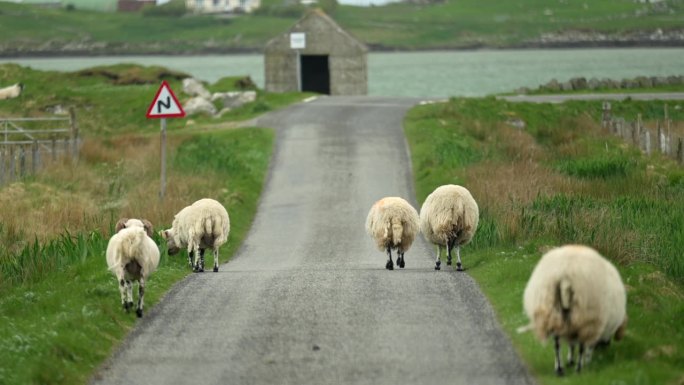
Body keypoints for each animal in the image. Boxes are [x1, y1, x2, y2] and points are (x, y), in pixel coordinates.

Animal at [520, 244, 628, 374]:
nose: (605, 346)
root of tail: (566, 273)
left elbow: (571, 343)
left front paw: (570, 360)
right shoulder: (594, 323)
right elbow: (587, 346)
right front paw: (586, 361)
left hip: (553, 309)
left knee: (557, 344)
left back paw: (559, 369)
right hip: (584, 315)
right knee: (580, 345)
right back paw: (579, 368)